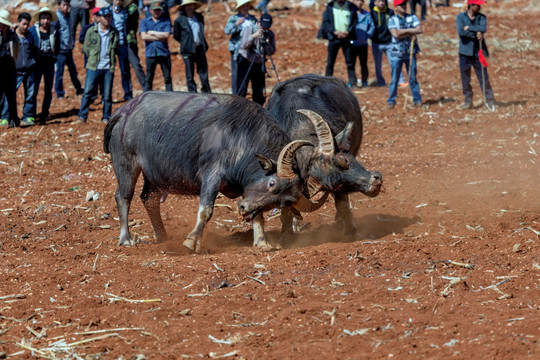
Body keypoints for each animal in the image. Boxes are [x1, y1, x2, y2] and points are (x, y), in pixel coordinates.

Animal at [103, 91, 318, 252]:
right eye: (272, 183)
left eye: (282, 202)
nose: (243, 210)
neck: (242, 136)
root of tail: (124, 111)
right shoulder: (212, 177)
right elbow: (206, 211)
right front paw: (190, 241)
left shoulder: (249, 193)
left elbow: (259, 216)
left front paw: (262, 242)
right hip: (126, 164)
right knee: (123, 196)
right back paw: (126, 239)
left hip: (154, 174)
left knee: (149, 198)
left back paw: (162, 235)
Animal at [266, 74, 384, 238]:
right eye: (335, 184)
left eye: (344, 159)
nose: (374, 182)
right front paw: (286, 234)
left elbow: (342, 205)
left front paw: (351, 231)